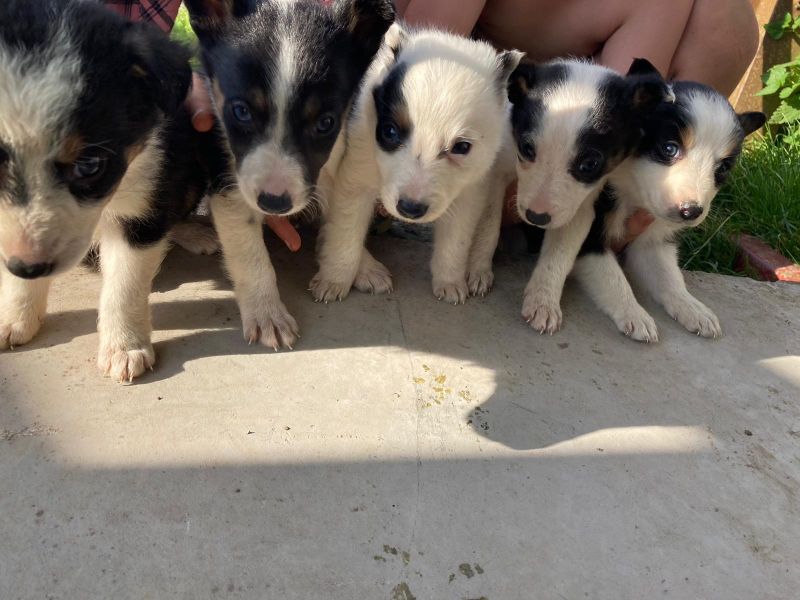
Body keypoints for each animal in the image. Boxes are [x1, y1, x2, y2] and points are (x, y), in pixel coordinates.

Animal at [181, 0, 394, 346]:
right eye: (241, 111)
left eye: (326, 123)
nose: (274, 204)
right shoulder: (229, 185)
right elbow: (251, 256)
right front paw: (267, 315)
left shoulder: (327, 165)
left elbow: (342, 218)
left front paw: (358, 264)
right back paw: (193, 233)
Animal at [310, 23, 520, 304]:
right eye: (389, 132)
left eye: (461, 147)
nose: (410, 209)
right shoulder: (358, 162)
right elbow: (346, 228)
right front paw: (334, 279)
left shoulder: (471, 187)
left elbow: (457, 236)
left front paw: (450, 280)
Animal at [506, 58, 668, 332]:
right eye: (526, 149)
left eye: (590, 164)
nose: (536, 218)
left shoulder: (578, 211)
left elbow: (559, 255)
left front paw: (543, 300)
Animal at [572, 61, 764, 342]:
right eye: (669, 148)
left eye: (723, 168)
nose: (691, 211)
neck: (633, 193)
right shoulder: (588, 235)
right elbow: (611, 275)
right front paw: (635, 315)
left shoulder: (654, 241)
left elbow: (669, 277)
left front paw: (693, 308)